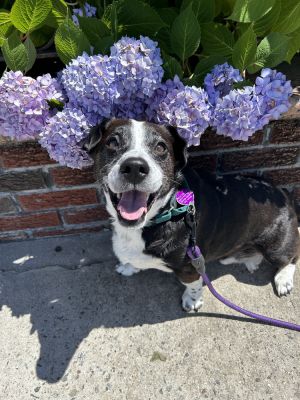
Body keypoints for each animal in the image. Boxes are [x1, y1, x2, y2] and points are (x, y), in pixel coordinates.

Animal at [85, 117, 300, 310]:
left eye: (161, 147)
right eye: (112, 142)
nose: (135, 167)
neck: (164, 213)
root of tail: (285, 195)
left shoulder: (190, 266)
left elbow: (194, 284)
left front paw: (193, 300)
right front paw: (129, 267)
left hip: (276, 247)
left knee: (292, 256)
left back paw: (283, 279)